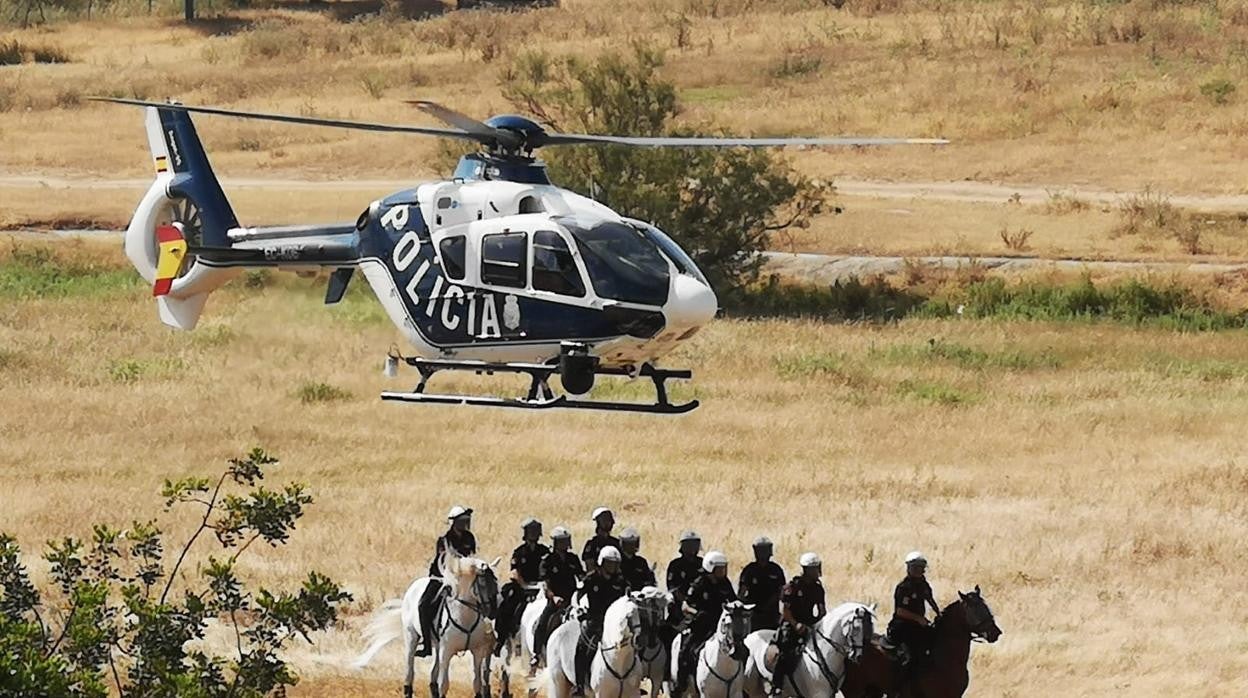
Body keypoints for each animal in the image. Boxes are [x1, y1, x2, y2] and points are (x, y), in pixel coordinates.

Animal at [354, 551, 499, 698]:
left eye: (495, 581)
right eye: (483, 583)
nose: (493, 612)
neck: (464, 616)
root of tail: (415, 585)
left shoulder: (477, 651)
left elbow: (477, 683)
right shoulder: (446, 652)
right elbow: (444, 685)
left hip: (437, 646)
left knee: (433, 676)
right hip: (411, 637)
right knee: (409, 672)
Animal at [743, 601, 873, 698]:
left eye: (868, 628)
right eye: (856, 628)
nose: (857, 656)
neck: (825, 652)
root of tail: (747, 638)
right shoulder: (819, 694)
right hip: (753, 686)